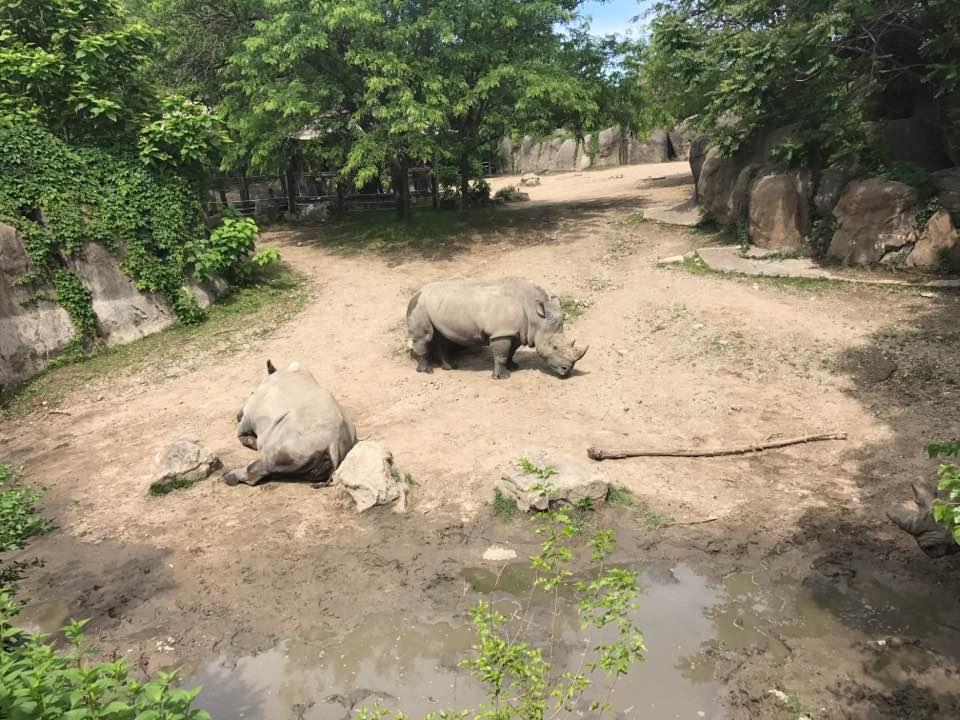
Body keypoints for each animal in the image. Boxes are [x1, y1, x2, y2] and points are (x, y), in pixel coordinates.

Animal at [223, 360, 357, 486]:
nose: (237, 415)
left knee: (267, 461)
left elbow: (241, 432)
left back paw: (228, 476)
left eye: (251, 392)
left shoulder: (249, 415)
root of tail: (333, 444)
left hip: (296, 443)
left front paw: (251, 441)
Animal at [406, 277, 587, 379]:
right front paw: (503, 377)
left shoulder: (515, 332)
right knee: (425, 337)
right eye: (554, 347)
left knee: (441, 338)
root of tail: (416, 293)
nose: (567, 370)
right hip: (419, 306)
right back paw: (427, 371)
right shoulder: (501, 333)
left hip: (437, 306)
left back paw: (450, 367)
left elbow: (511, 351)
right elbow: (501, 355)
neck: (535, 316)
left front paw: (513, 367)